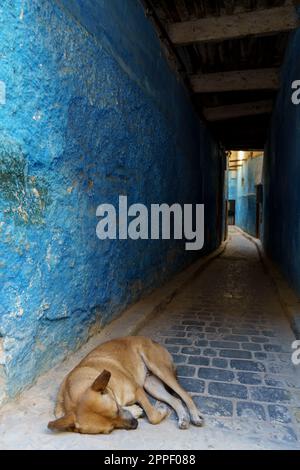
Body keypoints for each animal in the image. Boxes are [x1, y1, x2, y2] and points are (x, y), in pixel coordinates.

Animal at [48, 336, 204, 436]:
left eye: (117, 409)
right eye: (110, 430)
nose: (135, 425)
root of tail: (150, 339)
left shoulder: (137, 390)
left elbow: (152, 416)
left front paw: (159, 411)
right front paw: (137, 410)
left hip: (159, 369)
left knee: (185, 395)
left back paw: (194, 416)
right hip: (151, 384)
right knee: (176, 400)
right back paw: (183, 418)